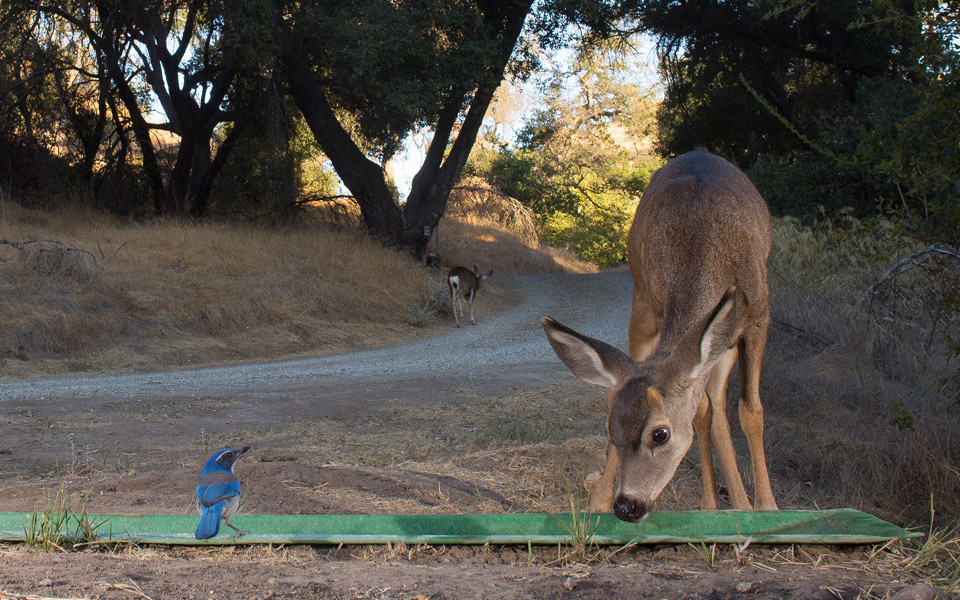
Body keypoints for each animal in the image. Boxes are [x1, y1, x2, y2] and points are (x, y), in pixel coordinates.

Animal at [544, 149, 776, 520]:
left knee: (720, 405)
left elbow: (751, 411)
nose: (627, 505)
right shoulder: (645, 307)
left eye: (660, 434)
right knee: (709, 408)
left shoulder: (758, 313)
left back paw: (741, 503)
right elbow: (695, 410)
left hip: (727, 338)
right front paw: (599, 505)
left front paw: (768, 506)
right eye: (610, 428)